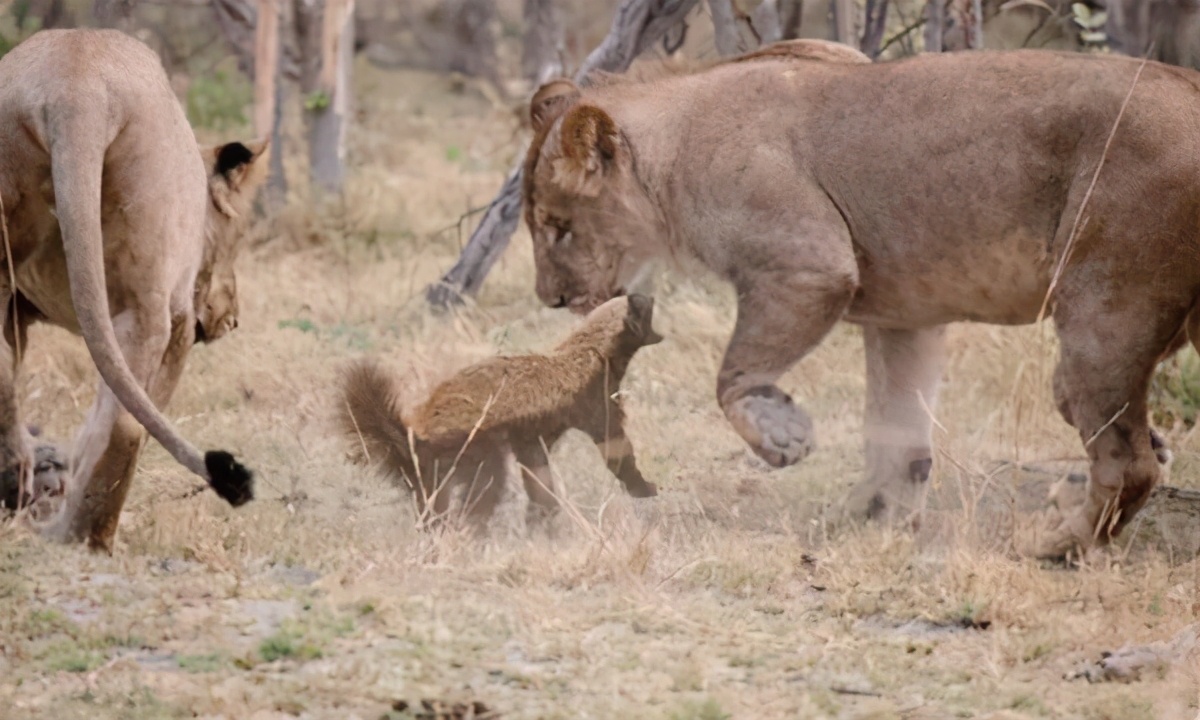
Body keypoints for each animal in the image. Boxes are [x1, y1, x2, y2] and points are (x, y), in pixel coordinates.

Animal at [0, 29, 265, 552]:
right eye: (237, 236)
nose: (233, 318)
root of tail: (76, 86)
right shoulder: (181, 317)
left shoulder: (16, 309)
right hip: (146, 298)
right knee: (125, 422)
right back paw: (82, 535)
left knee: (3, 377)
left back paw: (27, 495)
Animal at [338, 294, 662, 528]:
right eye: (643, 307)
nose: (649, 293)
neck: (589, 351)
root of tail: (413, 435)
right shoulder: (594, 401)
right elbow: (616, 448)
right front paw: (646, 487)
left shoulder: (531, 436)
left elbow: (537, 474)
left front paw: (541, 516)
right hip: (473, 449)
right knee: (485, 489)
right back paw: (469, 530)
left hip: (436, 471)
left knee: (434, 503)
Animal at [525, 37, 1200, 556]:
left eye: (557, 227)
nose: (550, 299)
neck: (672, 153)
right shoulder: (907, 314)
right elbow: (896, 431)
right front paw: (867, 517)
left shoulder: (809, 265)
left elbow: (732, 376)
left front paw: (783, 437)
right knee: (1102, 425)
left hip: (1104, 308)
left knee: (1126, 462)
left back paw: (1054, 543)